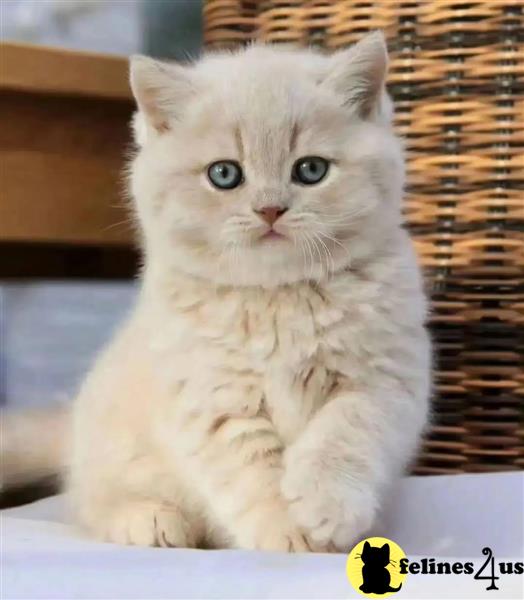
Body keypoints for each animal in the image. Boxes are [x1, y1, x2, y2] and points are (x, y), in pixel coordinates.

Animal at [0, 30, 432, 552]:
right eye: (224, 174)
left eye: (311, 170)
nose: (270, 209)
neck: (277, 299)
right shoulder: (212, 399)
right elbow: (254, 472)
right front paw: (290, 535)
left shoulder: (382, 379)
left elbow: (345, 432)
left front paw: (326, 508)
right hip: (112, 453)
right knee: (90, 503)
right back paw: (148, 519)